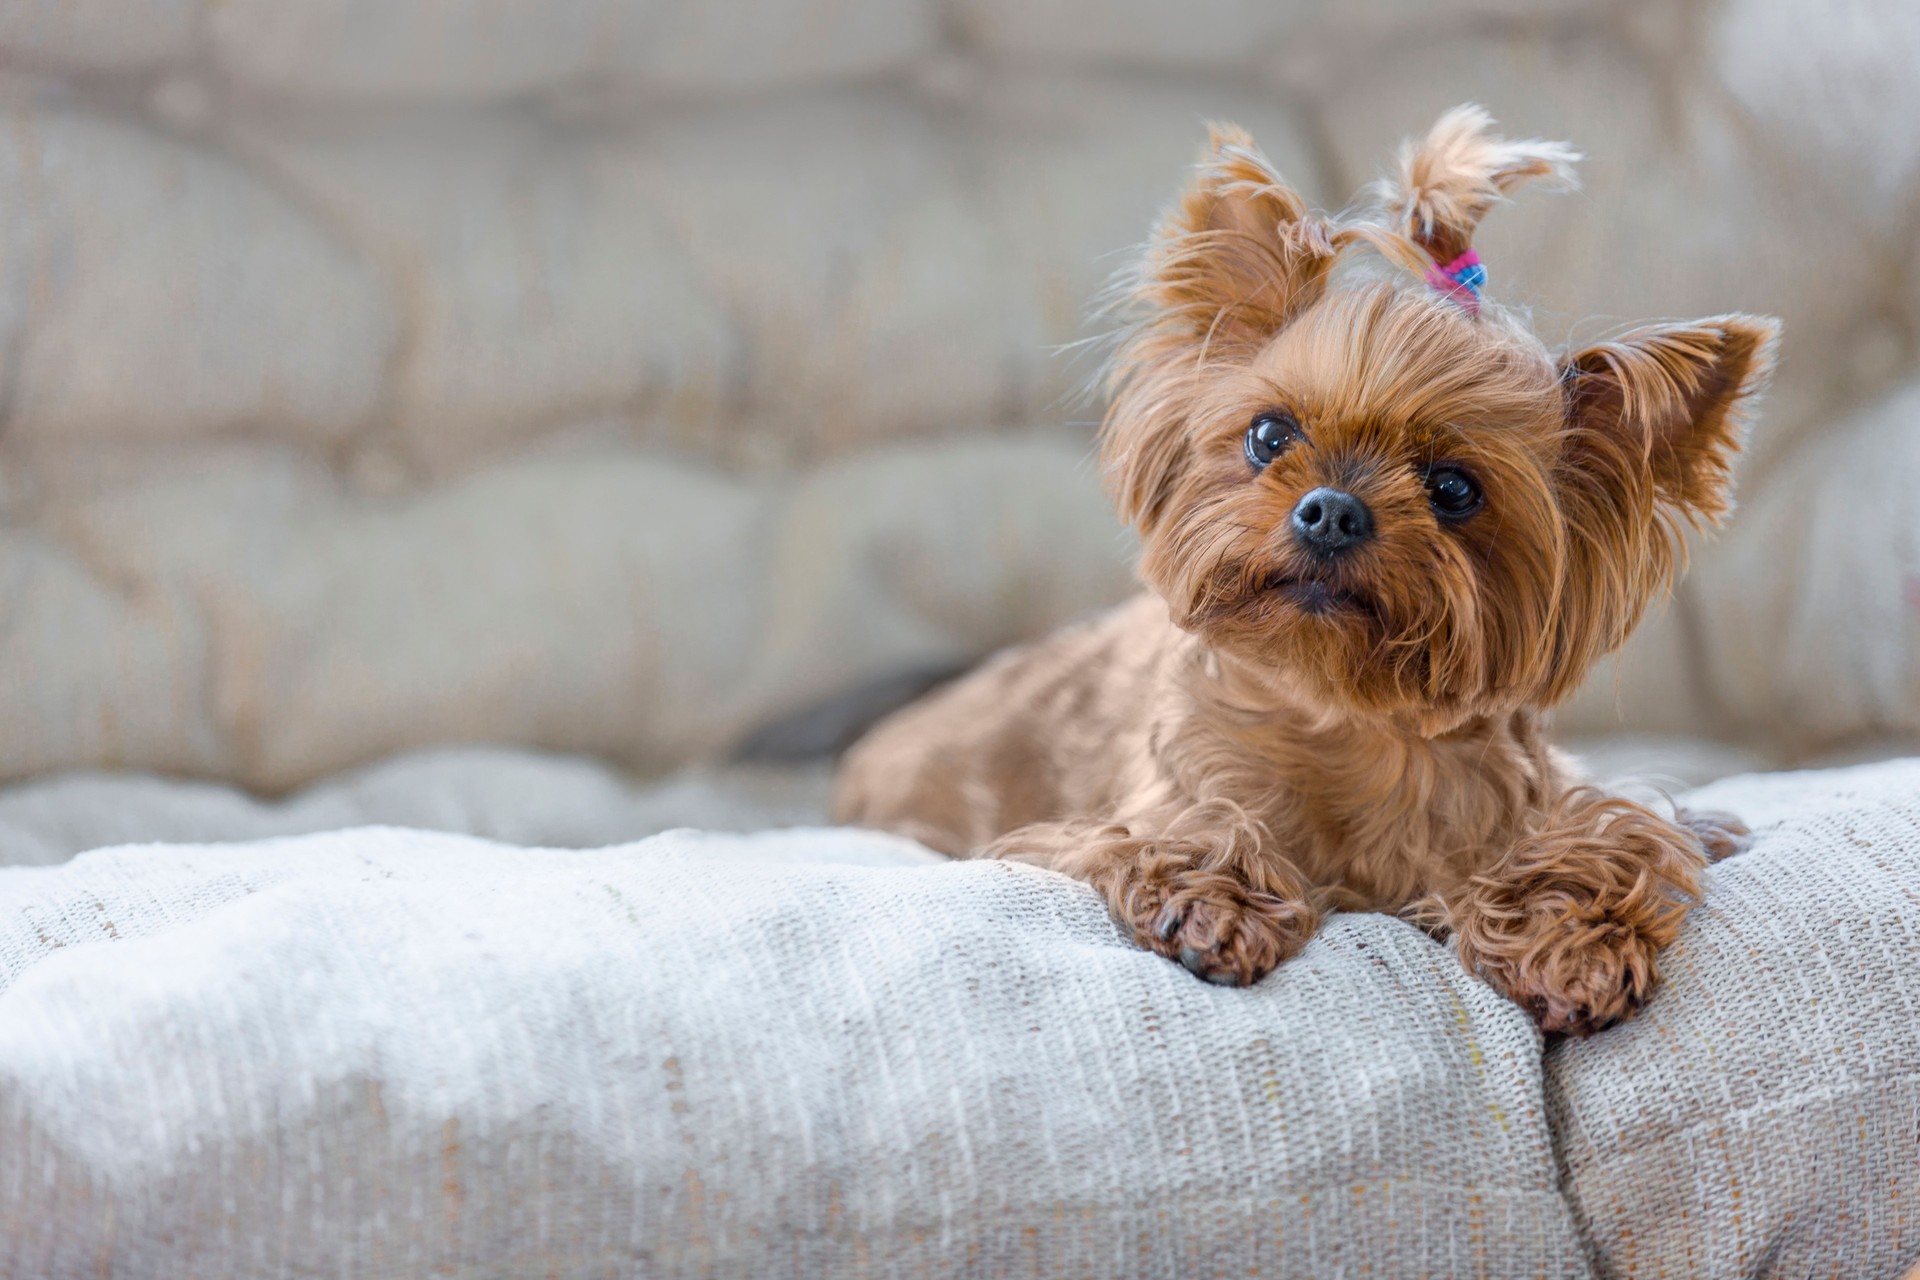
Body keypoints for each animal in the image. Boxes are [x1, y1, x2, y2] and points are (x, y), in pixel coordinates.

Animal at [833, 105, 1774, 1036]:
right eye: (1268, 435)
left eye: (1454, 488)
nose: (1331, 510)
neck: (1344, 721)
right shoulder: (1114, 815)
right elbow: (1182, 833)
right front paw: (1216, 901)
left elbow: (1616, 835)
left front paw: (1569, 939)